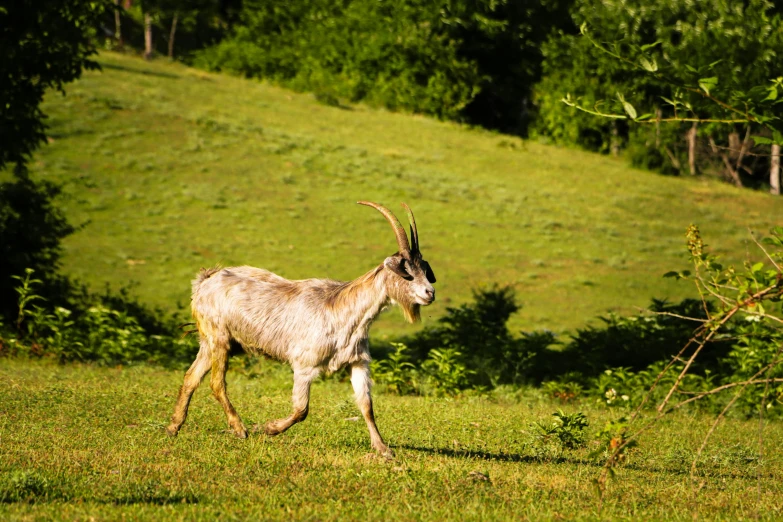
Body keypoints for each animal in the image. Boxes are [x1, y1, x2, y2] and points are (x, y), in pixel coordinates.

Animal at [166, 200, 438, 456]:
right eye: (406, 272)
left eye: (424, 270)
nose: (430, 293)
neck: (343, 311)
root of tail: (205, 281)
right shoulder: (304, 365)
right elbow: (301, 410)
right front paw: (268, 428)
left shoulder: (358, 362)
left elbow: (366, 405)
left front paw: (383, 449)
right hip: (219, 337)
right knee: (216, 383)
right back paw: (239, 428)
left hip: (213, 342)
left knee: (191, 377)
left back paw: (173, 427)